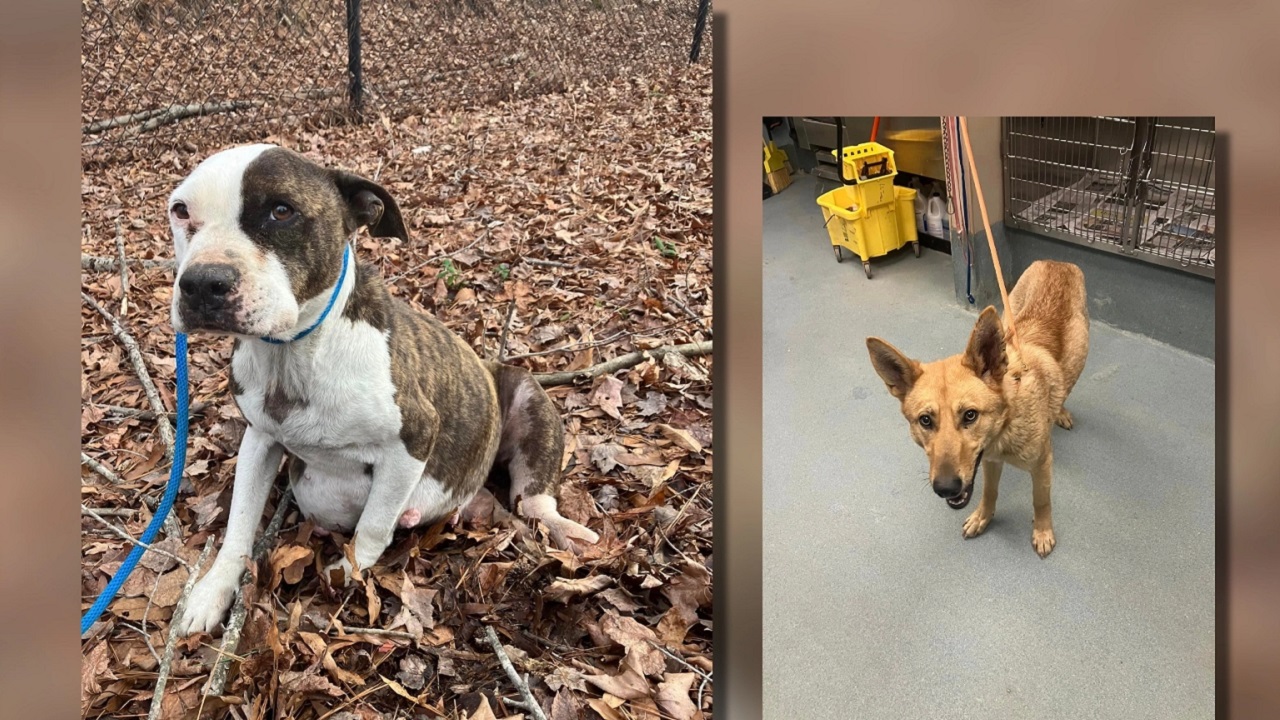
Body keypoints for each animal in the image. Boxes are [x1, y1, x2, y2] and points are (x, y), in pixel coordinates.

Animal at [165, 144, 599, 632]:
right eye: (181, 211)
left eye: (281, 210)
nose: (202, 282)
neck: (295, 355)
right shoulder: (258, 440)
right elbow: (239, 523)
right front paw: (212, 592)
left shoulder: (413, 440)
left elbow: (372, 524)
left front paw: (348, 572)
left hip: (526, 399)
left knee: (536, 504)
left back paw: (570, 533)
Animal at [865, 257, 1085, 556]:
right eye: (925, 420)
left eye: (970, 415)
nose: (946, 488)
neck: (1007, 422)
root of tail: (1057, 261)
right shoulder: (989, 461)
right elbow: (989, 491)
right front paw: (983, 517)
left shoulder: (1041, 465)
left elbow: (1041, 501)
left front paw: (1042, 531)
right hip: (1007, 315)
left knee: (1066, 386)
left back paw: (1059, 410)